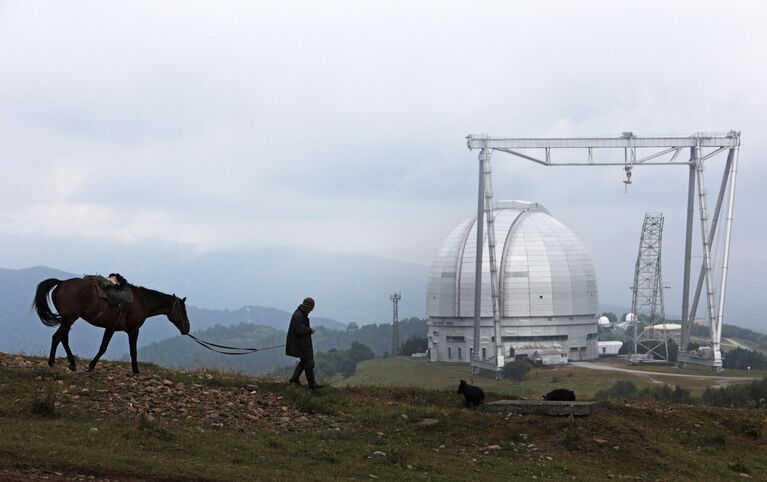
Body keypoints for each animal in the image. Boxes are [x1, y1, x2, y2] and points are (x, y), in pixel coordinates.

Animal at [33, 276, 192, 374]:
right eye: (183, 310)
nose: (187, 328)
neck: (142, 301)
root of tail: (61, 282)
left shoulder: (111, 328)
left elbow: (103, 348)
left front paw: (91, 366)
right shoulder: (134, 330)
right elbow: (133, 351)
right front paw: (136, 370)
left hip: (68, 320)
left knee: (63, 338)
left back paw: (72, 363)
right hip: (69, 319)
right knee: (57, 337)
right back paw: (52, 362)